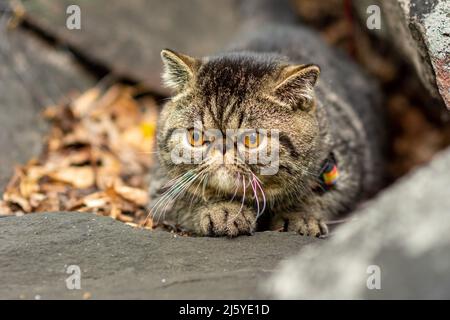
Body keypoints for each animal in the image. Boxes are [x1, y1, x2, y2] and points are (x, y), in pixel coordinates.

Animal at [149, 22, 386, 238]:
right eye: (196, 137)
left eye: (252, 140)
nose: (222, 149)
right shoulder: (158, 186)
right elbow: (186, 198)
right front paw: (223, 211)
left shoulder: (346, 173)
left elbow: (317, 197)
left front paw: (301, 216)